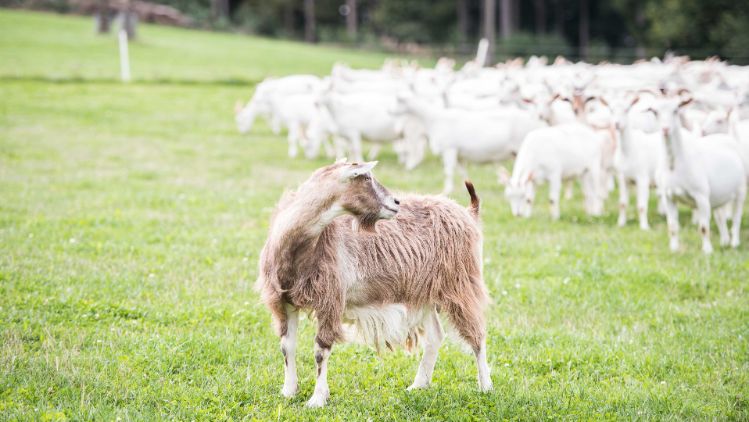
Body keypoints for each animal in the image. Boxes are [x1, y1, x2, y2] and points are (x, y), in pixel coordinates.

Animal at [256, 160, 492, 407]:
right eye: (366, 178)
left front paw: (317, 399)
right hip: (423, 292)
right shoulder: (283, 301)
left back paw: (485, 386)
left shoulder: (330, 300)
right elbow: (287, 346)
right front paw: (288, 391)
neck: (297, 248)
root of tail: (467, 213)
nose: (396, 202)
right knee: (436, 336)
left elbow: (321, 350)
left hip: (461, 282)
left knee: (477, 334)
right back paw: (418, 385)